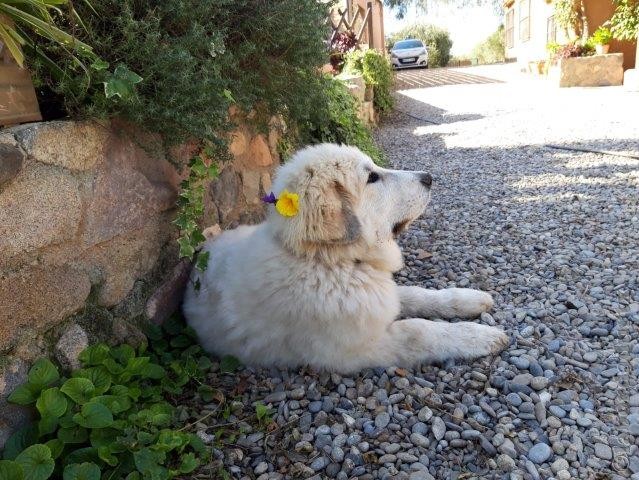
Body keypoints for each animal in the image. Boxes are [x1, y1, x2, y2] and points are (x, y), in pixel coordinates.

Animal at [182, 144, 508, 374]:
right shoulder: (359, 347)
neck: (327, 262)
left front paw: (467, 299)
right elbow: (419, 331)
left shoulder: (375, 296)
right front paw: (480, 336)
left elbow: (417, 294)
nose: (428, 178)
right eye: (372, 177)